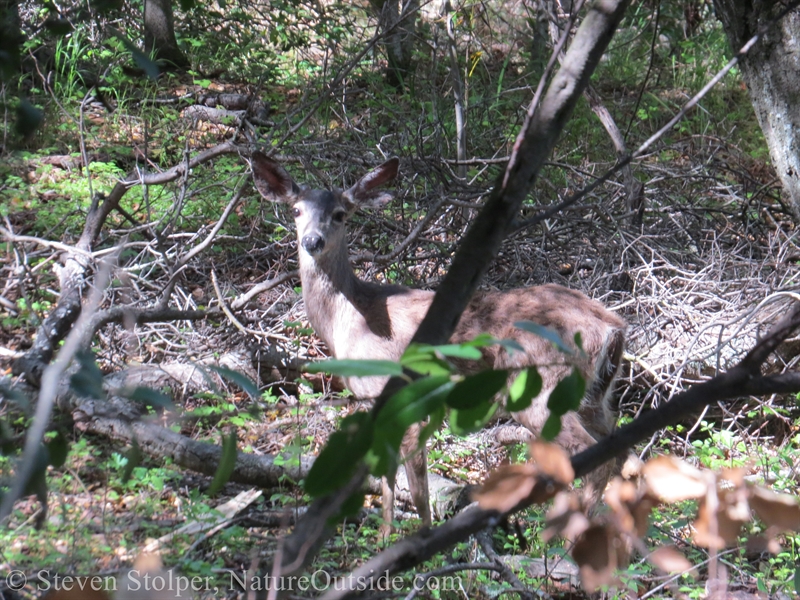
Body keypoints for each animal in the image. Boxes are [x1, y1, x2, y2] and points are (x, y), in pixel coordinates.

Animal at [253, 152, 628, 528]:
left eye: (340, 214)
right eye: (296, 210)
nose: (312, 241)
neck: (351, 318)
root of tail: (612, 326)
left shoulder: (398, 392)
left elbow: (416, 488)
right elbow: (387, 480)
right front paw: (386, 535)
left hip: (539, 386)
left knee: (598, 458)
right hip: (595, 398)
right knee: (622, 451)